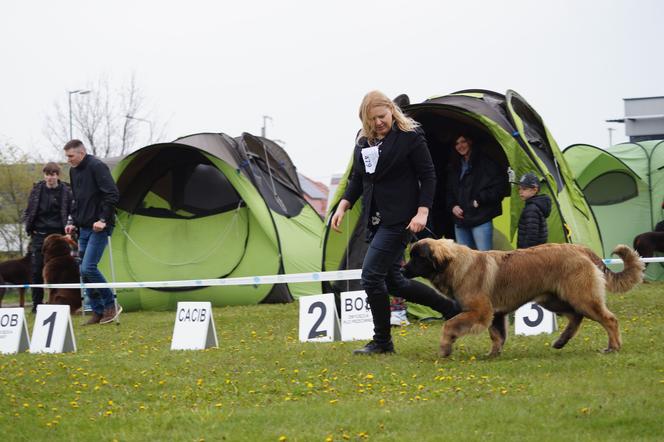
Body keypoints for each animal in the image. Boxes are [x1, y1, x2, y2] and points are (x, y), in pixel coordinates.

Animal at [402, 238, 644, 360]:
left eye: (418, 257)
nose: (402, 269)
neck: (458, 265)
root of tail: (580, 248)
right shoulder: (495, 314)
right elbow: (497, 335)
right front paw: (493, 354)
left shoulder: (479, 312)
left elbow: (450, 325)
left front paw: (445, 347)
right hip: (554, 300)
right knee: (576, 317)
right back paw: (561, 341)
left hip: (581, 297)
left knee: (609, 319)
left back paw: (612, 347)